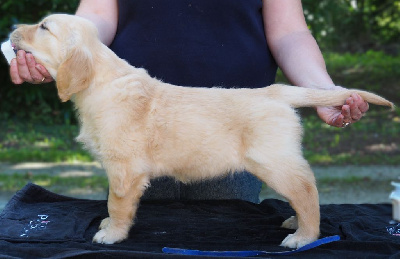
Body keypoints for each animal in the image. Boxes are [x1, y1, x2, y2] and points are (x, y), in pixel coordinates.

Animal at [10, 14, 394, 250]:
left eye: (43, 27)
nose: (12, 26)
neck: (101, 82)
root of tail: (276, 92)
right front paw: (108, 226)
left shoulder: (123, 169)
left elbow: (117, 203)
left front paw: (112, 233)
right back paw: (294, 223)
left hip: (273, 161)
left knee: (306, 189)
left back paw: (305, 236)